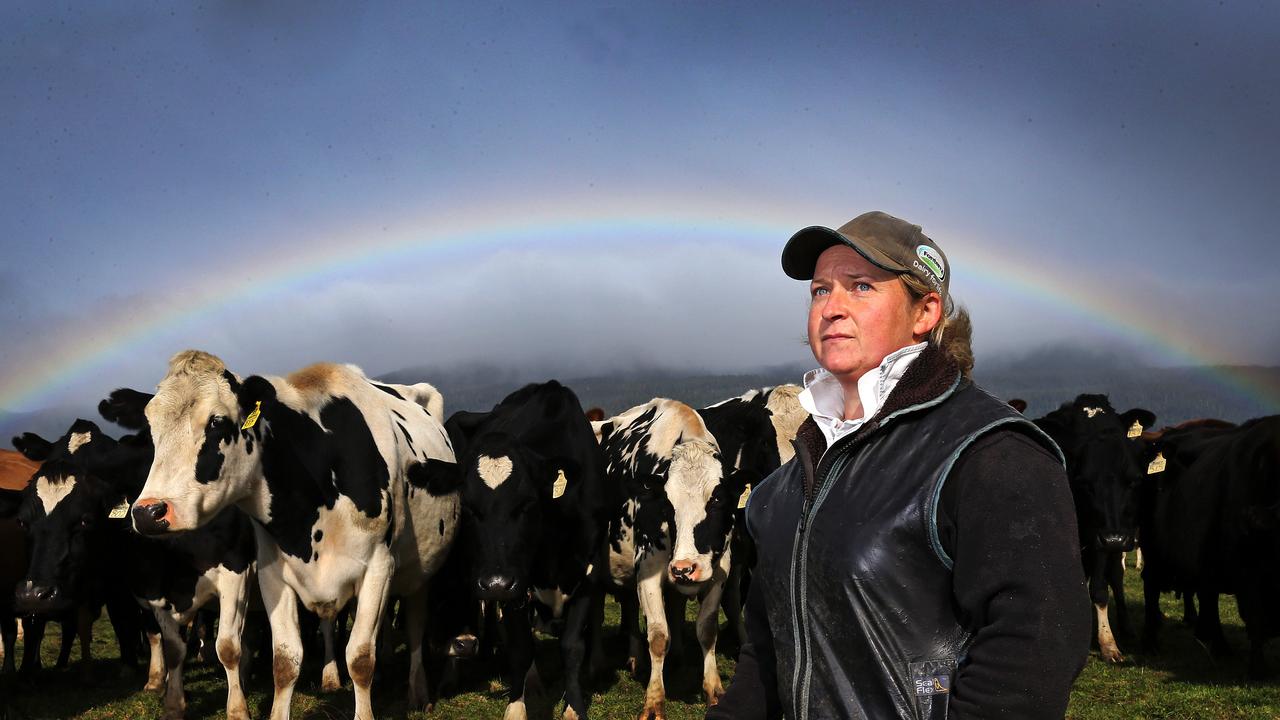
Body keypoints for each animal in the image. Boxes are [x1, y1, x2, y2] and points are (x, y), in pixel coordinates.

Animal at [128, 348, 460, 717]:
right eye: (152, 427)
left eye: (216, 421)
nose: (148, 513)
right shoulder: (272, 574)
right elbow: (285, 661)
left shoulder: (378, 568)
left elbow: (360, 658)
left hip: (421, 573)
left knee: (415, 629)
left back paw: (418, 691)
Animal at [445, 381, 609, 717]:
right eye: (468, 507)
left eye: (527, 503)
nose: (495, 583)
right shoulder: (515, 582)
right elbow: (521, 648)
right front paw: (516, 709)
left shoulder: (590, 566)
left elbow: (572, 646)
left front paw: (574, 708)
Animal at [593, 397, 747, 717]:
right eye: (667, 503)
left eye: (717, 499)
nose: (685, 568)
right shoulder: (647, 571)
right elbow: (658, 636)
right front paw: (654, 700)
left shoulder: (719, 570)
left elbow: (707, 629)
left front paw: (713, 689)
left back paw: (642, 657)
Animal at [1029, 392, 1162, 661]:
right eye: (1083, 482)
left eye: (1133, 480)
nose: (1115, 539)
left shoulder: (1099, 540)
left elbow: (1100, 589)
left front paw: (1107, 644)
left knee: (1116, 576)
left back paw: (1126, 627)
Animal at [1141, 412, 1280, 676]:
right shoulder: (1248, 570)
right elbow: (1255, 615)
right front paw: (1258, 669)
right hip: (1153, 549)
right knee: (1151, 586)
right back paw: (1152, 642)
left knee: (1207, 597)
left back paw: (1217, 643)